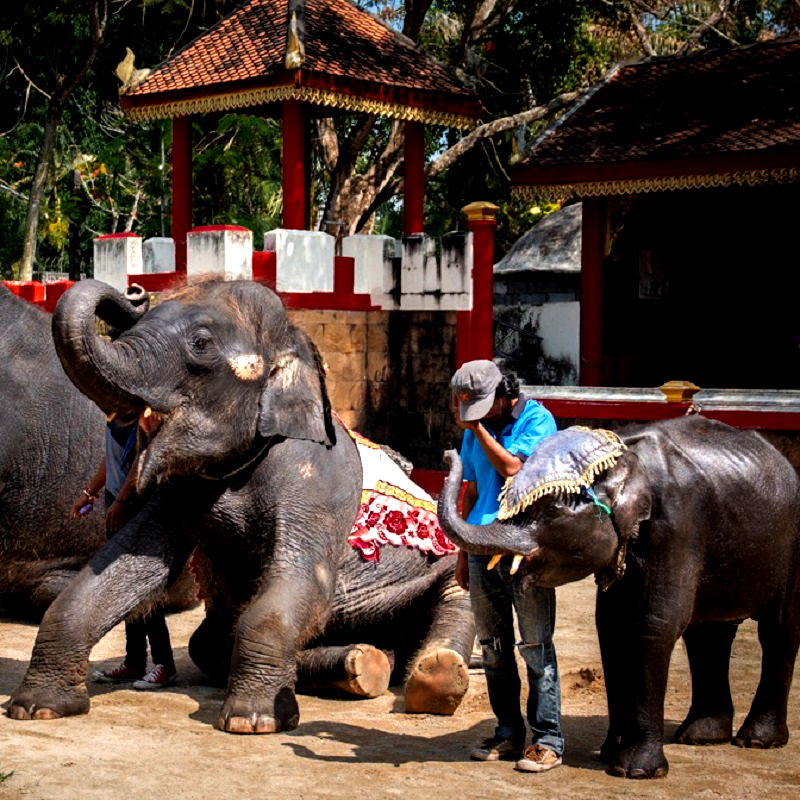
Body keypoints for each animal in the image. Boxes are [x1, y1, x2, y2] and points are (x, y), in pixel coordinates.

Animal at [7, 280, 476, 732]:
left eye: (200, 343)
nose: (134, 292)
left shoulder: (314, 481)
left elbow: (301, 580)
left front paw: (252, 720)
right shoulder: (181, 489)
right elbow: (124, 566)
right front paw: (36, 707)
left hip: (439, 571)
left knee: (457, 596)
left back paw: (433, 677)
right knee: (209, 645)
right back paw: (363, 663)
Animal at [438, 416, 800, 780]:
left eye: (552, 510)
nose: (447, 452)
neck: (624, 460)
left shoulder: (679, 528)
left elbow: (654, 626)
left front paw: (634, 770)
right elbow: (611, 627)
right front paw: (610, 753)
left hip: (790, 550)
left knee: (777, 631)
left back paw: (756, 740)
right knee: (708, 634)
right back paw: (700, 736)